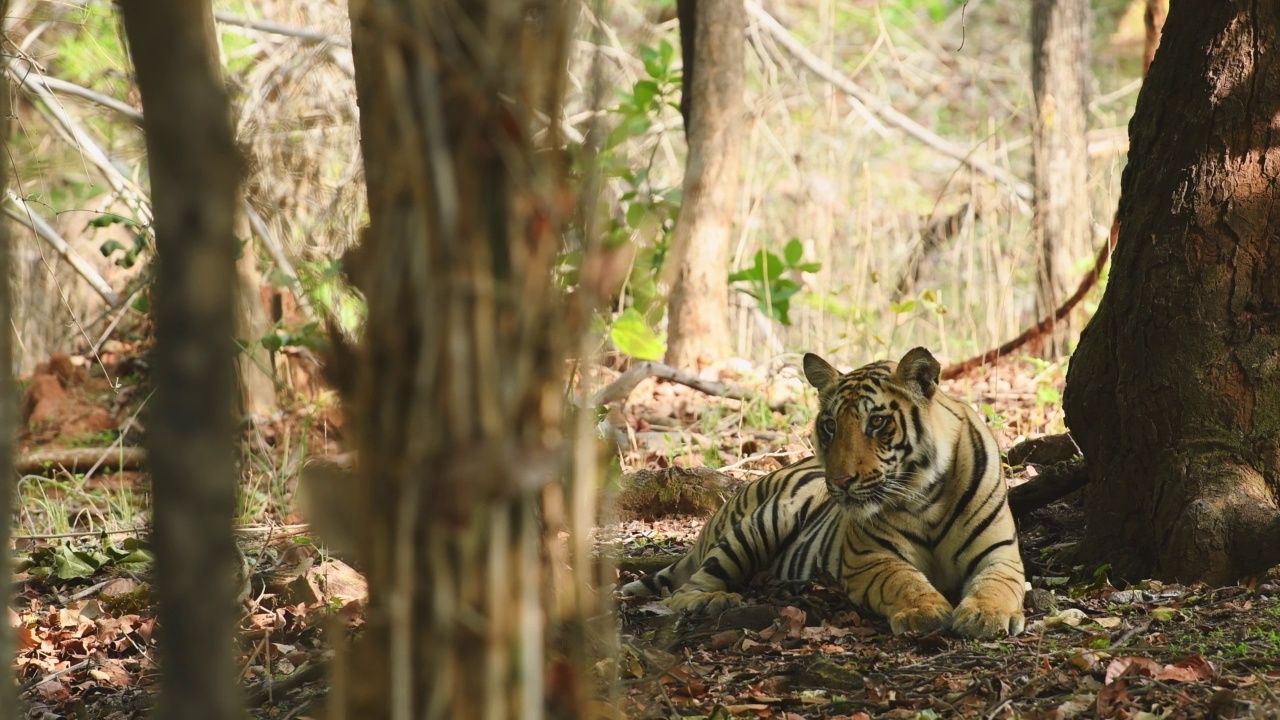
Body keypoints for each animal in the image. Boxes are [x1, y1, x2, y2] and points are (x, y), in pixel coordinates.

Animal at [614, 345, 1024, 632]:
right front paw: (925, 610)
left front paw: (985, 616)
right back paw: (713, 602)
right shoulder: (870, 558)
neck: (927, 497)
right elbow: (904, 581)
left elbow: (997, 584)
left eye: (877, 422)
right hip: (762, 523)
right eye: (830, 425)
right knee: (684, 590)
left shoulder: (1000, 553)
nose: (839, 481)